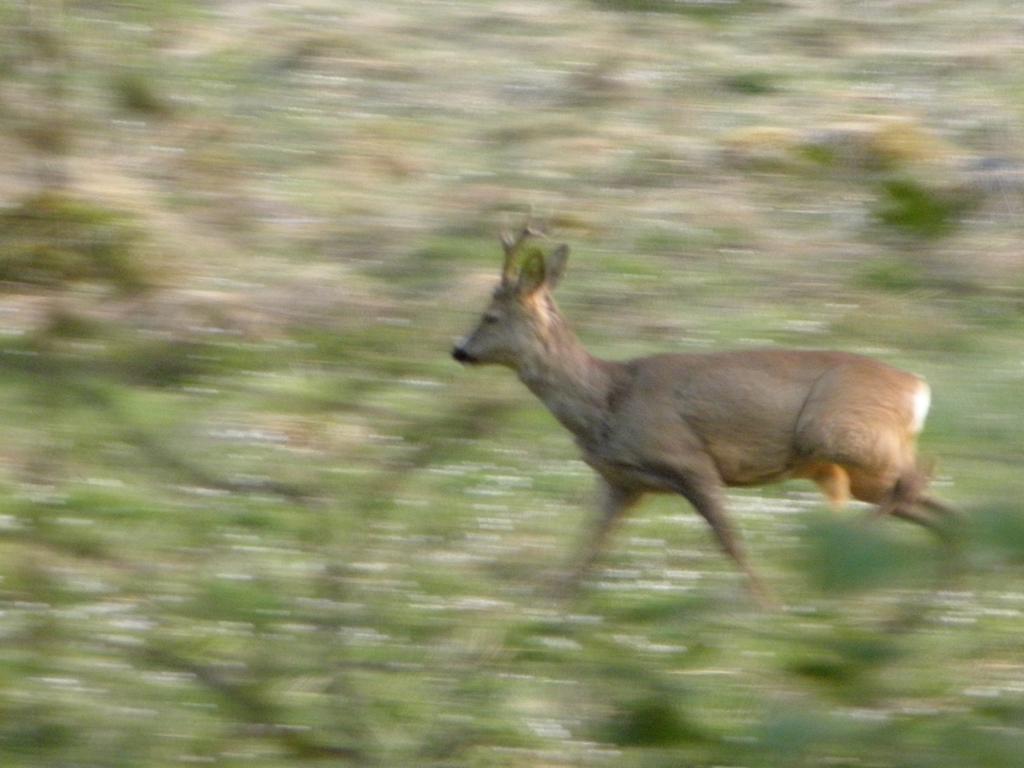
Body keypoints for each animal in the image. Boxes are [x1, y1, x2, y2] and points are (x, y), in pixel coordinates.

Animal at [452, 225, 954, 606]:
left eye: (491, 316)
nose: (459, 350)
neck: (607, 400)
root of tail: (918, 386)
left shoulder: (692, 460)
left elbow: (730, 540)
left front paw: (767, 604)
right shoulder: (621, 481)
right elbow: (588, 545)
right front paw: (549, 604)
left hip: (837, 433)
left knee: (918, 478)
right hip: (857, 464)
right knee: (934, 504)